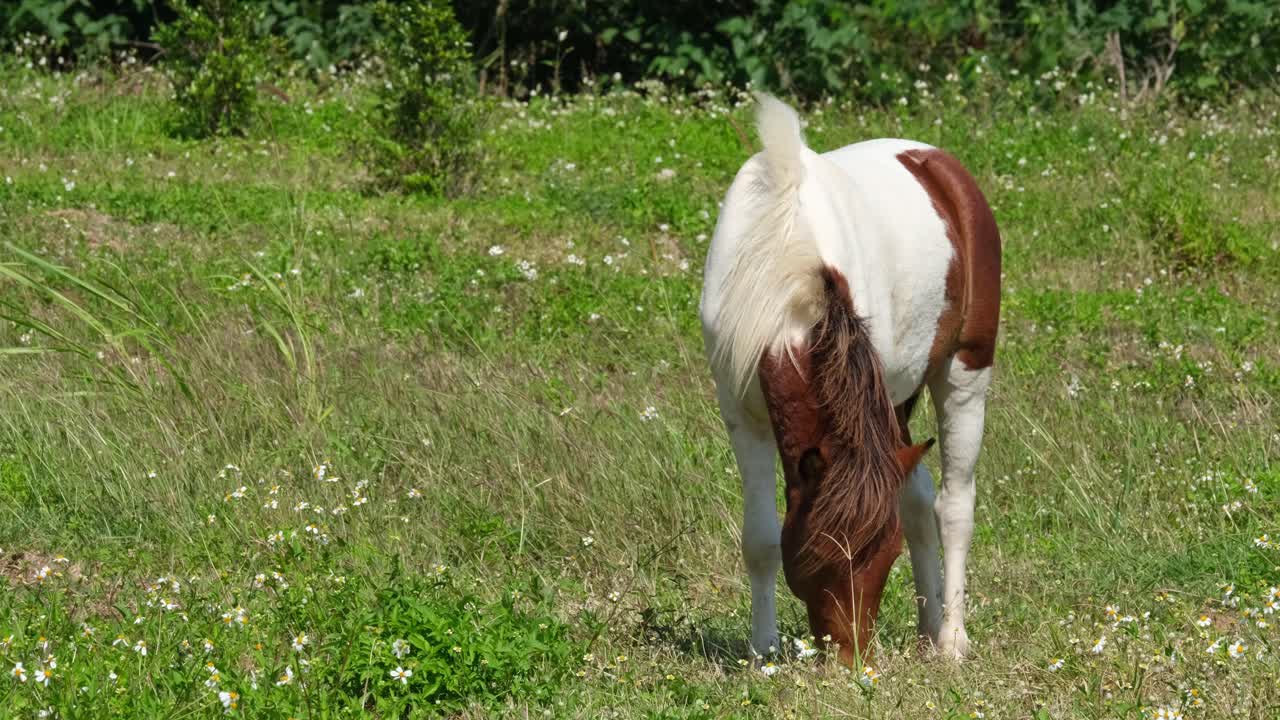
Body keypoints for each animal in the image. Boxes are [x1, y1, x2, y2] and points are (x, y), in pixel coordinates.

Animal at [699, 94, 1001, 664]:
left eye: (884, 553)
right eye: (817, 556)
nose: (850, 656)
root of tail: (941, 166)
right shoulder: (742, 417)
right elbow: (759, 540)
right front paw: (763, 649)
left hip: (965, 370)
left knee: (954, 506)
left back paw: (951, 638)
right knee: (918, 497)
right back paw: (929, 629)